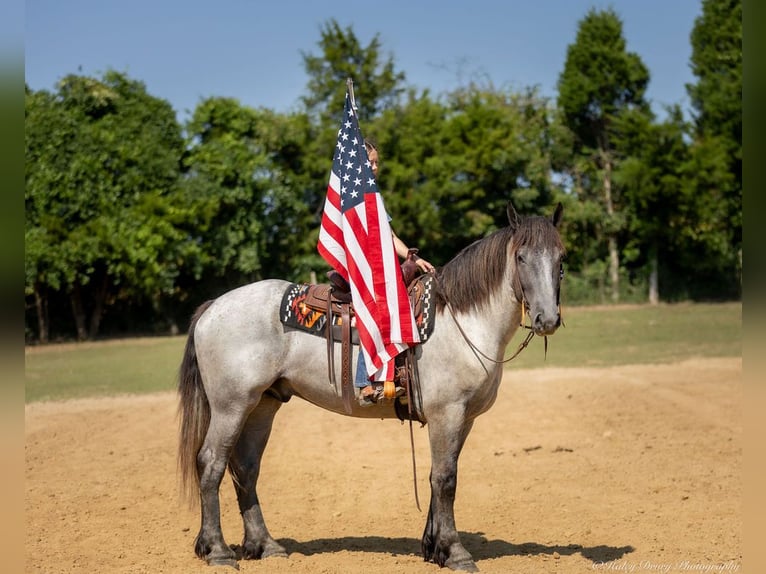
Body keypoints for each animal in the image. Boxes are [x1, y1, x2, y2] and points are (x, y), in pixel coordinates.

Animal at [178, 201, 564, 572]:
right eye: (521, 257)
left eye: (561, 259)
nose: (547, 319)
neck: (460, 320)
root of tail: (214, 306)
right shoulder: (447, 414)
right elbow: (445, 479)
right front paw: (455, 553)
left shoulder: (463, 419)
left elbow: (437, 476)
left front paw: (433, 548)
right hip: (231, 406)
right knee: (211, 463)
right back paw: (217, 550)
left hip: (262, 405)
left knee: (245, 468)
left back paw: (264, 546)